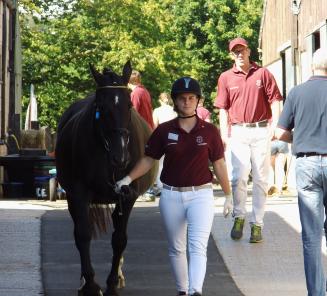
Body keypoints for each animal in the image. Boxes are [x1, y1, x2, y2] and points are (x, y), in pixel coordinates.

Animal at [55, 61, 158, 294]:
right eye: (101, 107)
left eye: (129, 105)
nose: (121, 156)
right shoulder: (78, 194)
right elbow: (82, 234)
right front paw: (90, 284)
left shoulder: (127, 196)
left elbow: (119, 239)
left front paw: (111, 283)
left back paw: (118, 275)